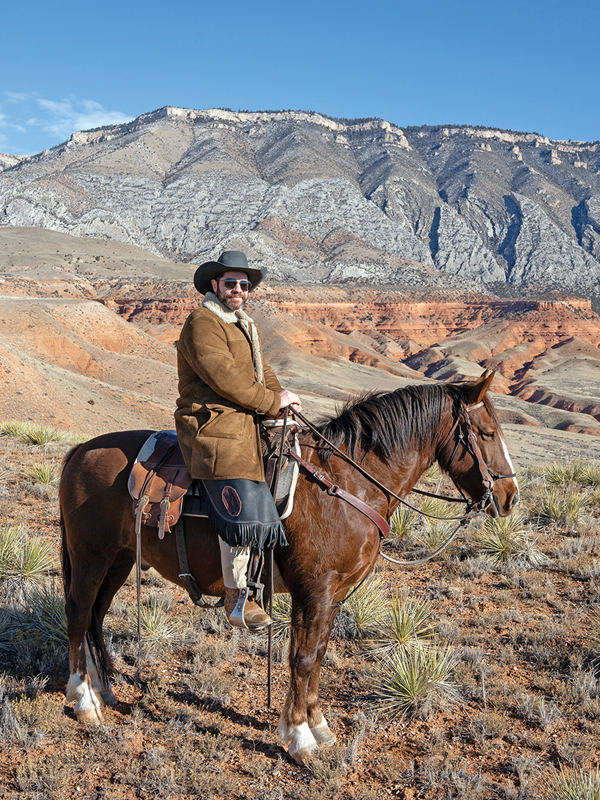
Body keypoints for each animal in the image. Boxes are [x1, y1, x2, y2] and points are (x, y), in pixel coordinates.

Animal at [62, 372, 520, 764]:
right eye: (487, 433)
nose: (510, 496)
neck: (346, 485)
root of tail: (79, 450)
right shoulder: (315, 589)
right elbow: (302, 659)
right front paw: (300, 738)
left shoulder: (331, 596)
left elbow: (316, 655)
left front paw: (317, 725)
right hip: (90, 557)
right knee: (79, 614)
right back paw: (84, 701)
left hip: (119, 559)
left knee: (97, 615)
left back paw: (105, 689)